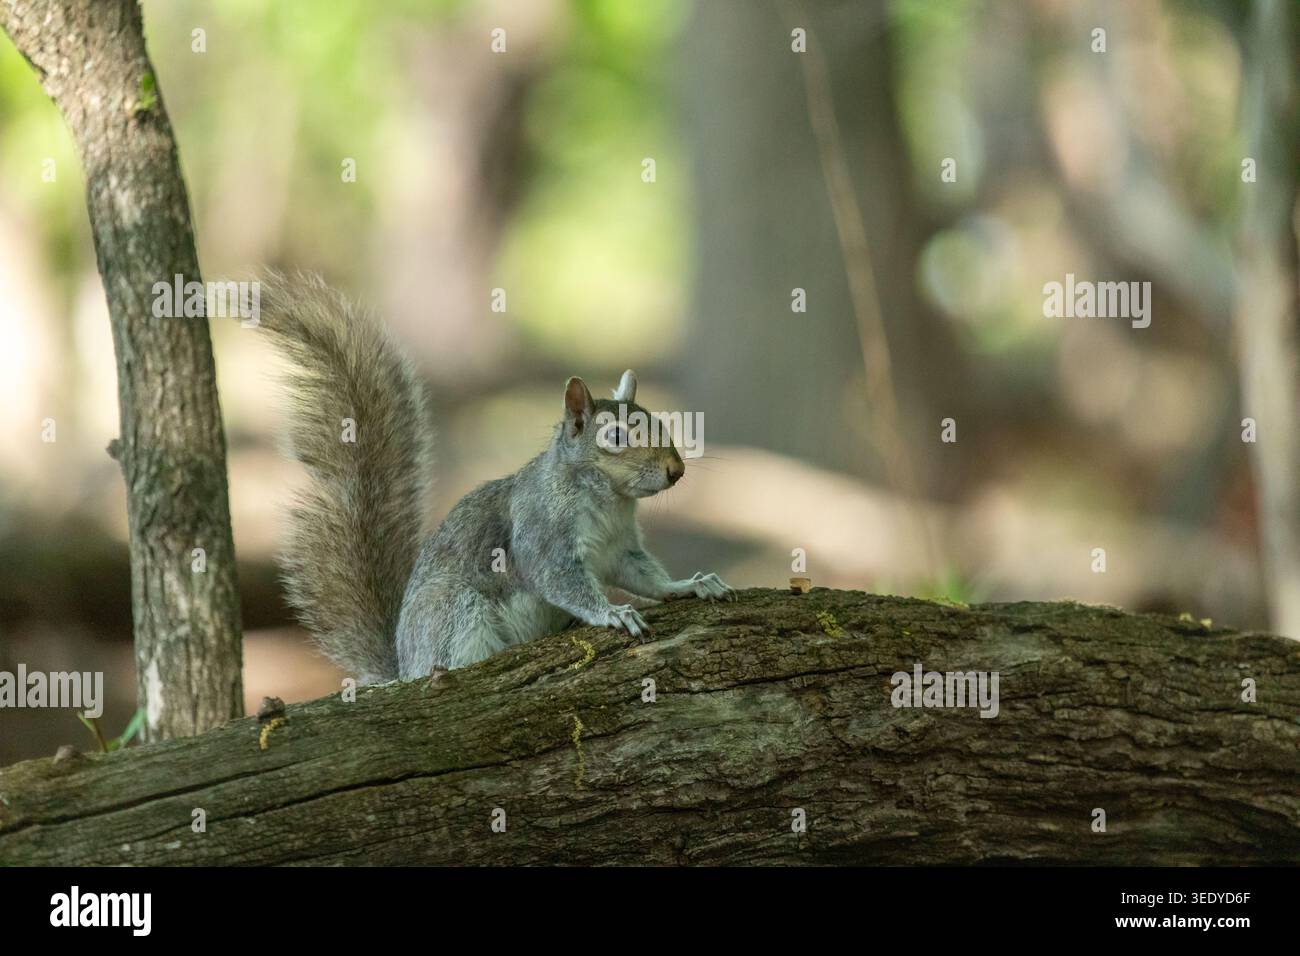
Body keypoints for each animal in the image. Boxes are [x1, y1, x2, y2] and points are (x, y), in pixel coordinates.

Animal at [259, 273, 736, 683]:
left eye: (658, 421)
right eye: (615, 436)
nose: (677, 470)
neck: (607, 500)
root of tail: (404, 666)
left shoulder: (621, 549)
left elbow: (645, 576)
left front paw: (691, 586)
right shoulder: (542, 535)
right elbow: (560, 579)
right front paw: (612, 613)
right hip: (455, 609)